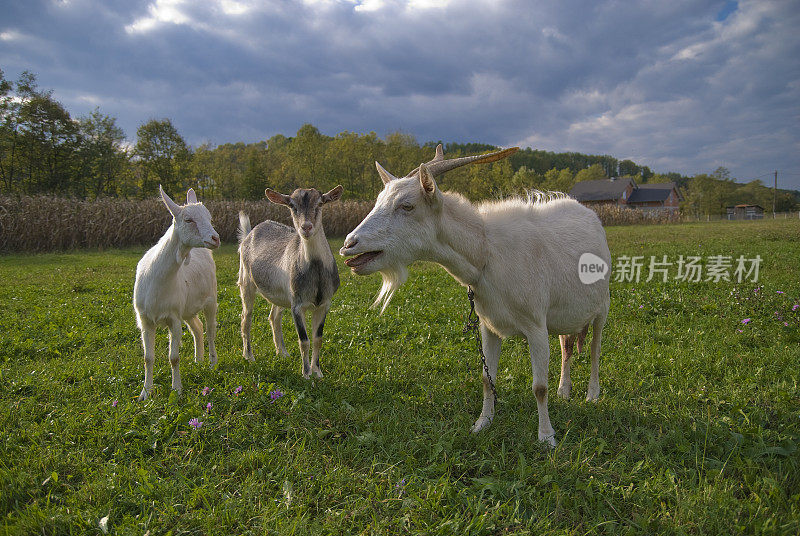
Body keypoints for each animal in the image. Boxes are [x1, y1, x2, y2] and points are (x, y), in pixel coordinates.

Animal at [234, 186, 340, 378]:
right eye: (292, 206)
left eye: (320, 203)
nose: (306, 227)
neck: (316, 273)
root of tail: (248, 234)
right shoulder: (297, 305)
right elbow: (304, 340)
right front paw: (306, 374)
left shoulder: (324, 304)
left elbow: (318, 339)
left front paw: (318, 372)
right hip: (246, 282)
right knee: (246, 318)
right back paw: (249, 356)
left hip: (281, 294)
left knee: (274, 317)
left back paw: (282, 352)